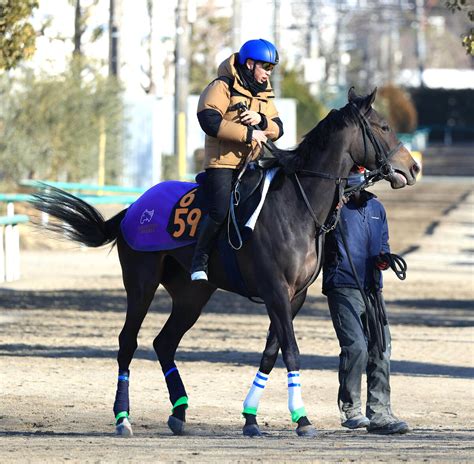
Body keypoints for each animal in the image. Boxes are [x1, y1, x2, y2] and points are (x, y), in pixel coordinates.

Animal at [29, 88, 418, 438]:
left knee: (164, 342)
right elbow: (291, 351)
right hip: (141, 284)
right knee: (128, 342)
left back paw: (179, 413)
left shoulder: (294, 297)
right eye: (383, 126)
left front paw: (251, 418)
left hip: (192, 294)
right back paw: (123, 419)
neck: (296, 204)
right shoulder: (275, 291)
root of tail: (133, 209)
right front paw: (302, 419)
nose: (412, 167)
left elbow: (270, 353)